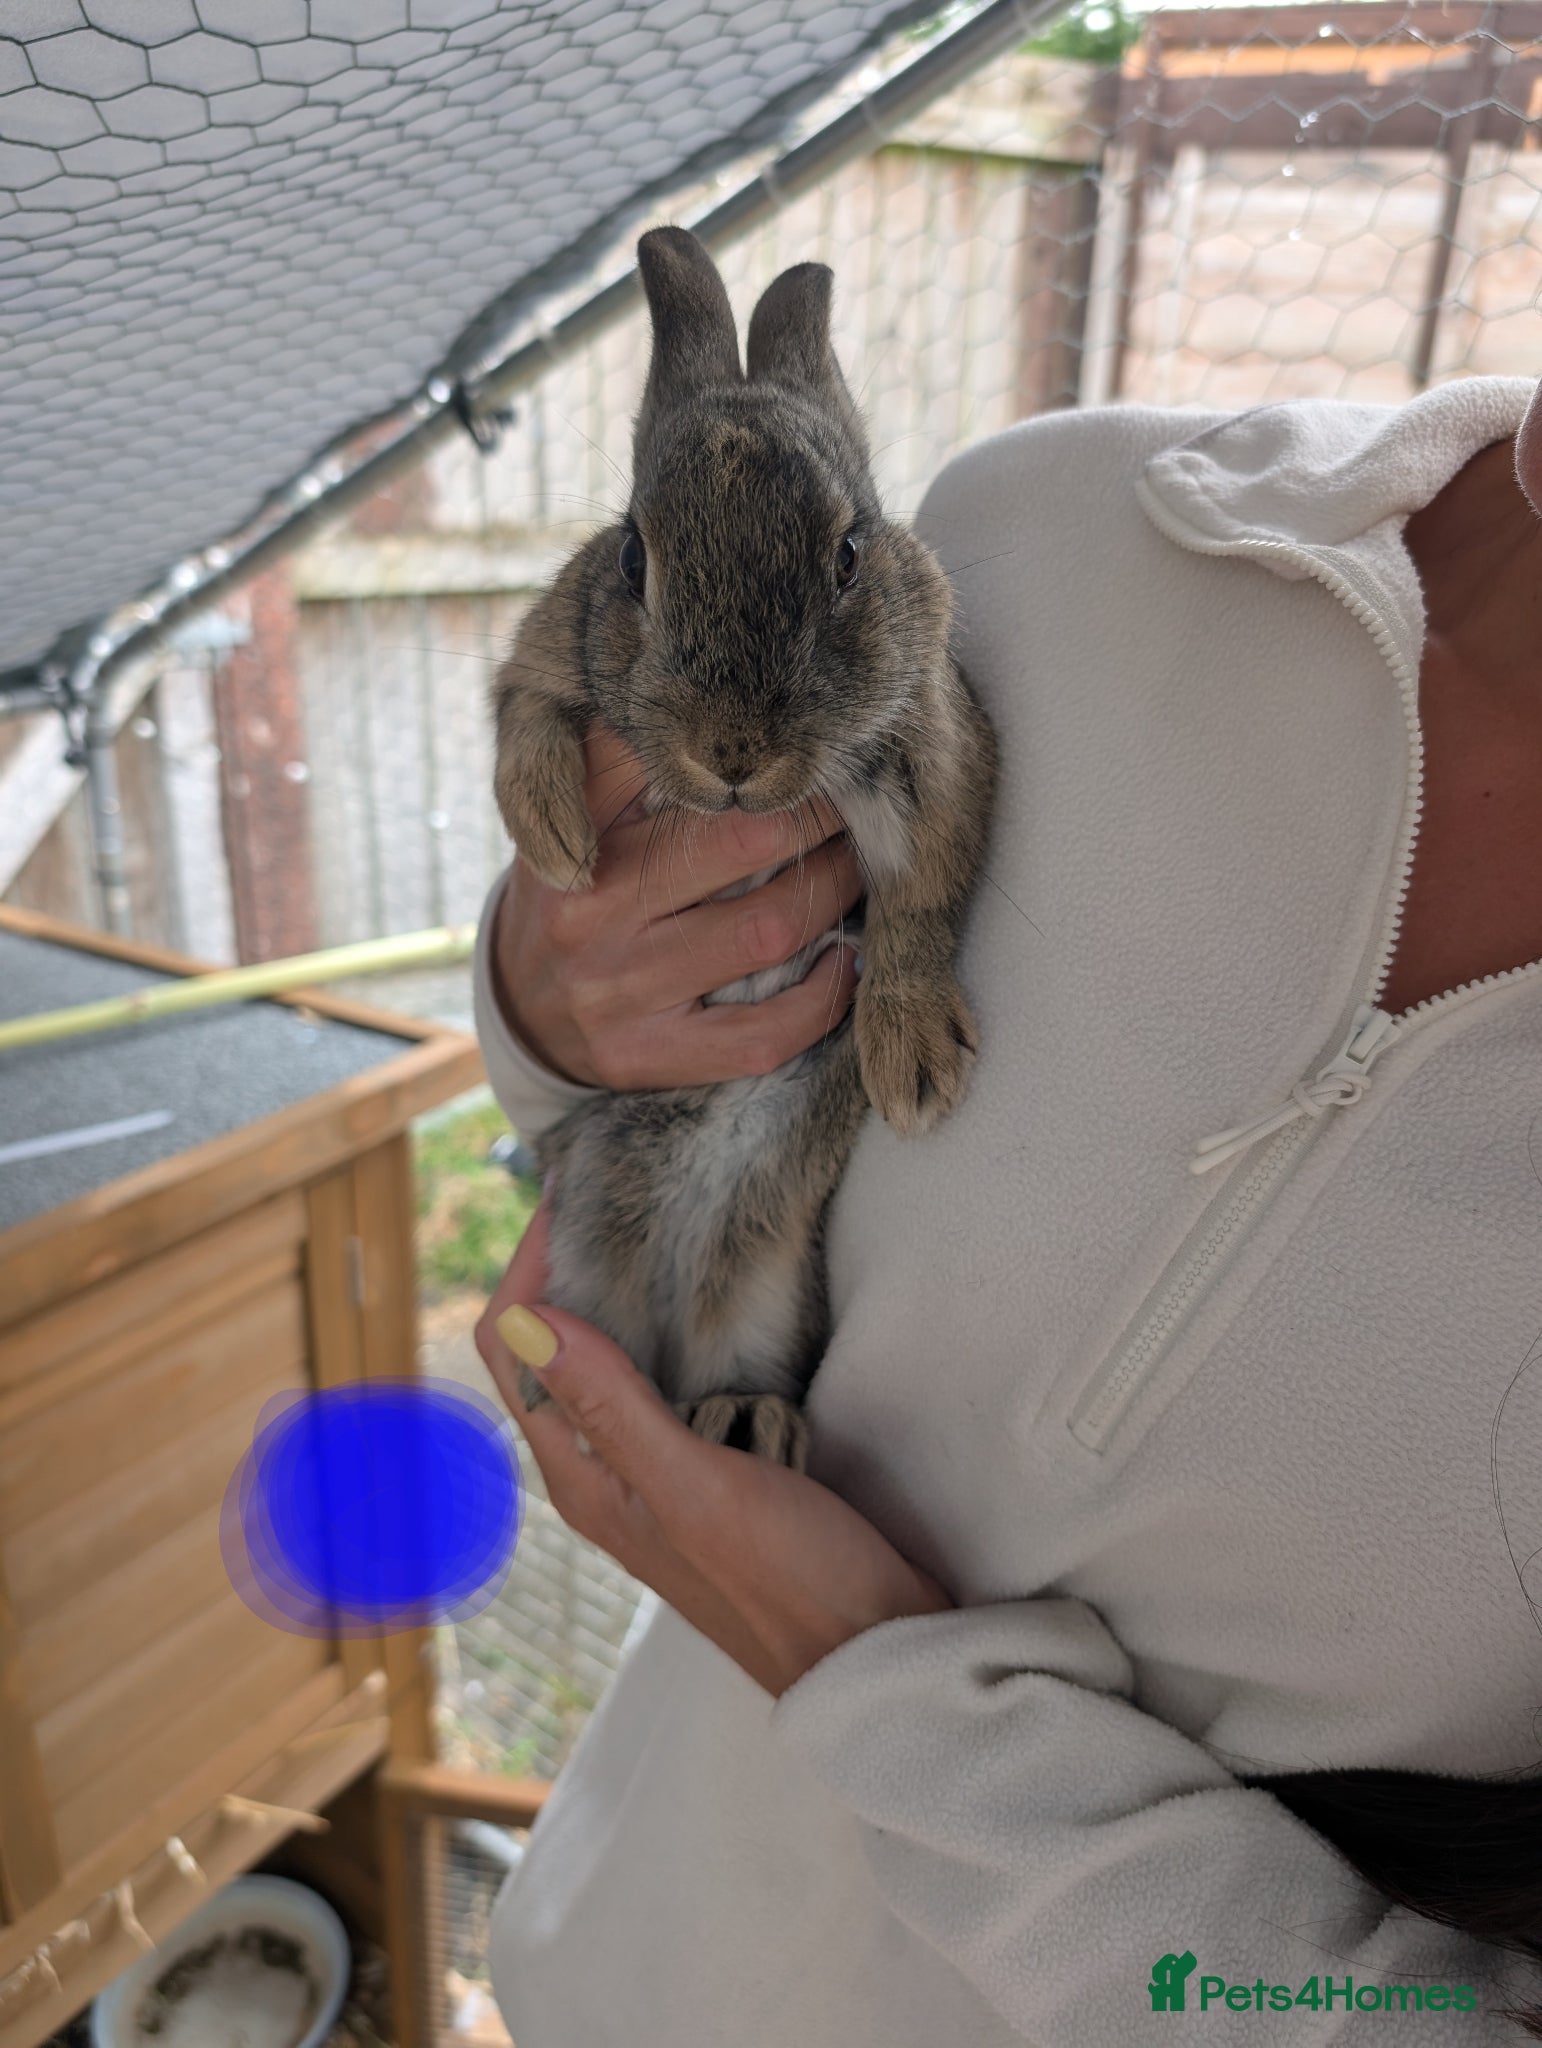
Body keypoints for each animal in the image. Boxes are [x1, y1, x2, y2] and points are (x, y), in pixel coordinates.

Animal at [488, 225, 997, 1471]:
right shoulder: (554, 647)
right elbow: (522, 713)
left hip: (767, 1287)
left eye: (849, 553)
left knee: (743, 1357)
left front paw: (913, 1059)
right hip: (589, 1250)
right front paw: (560, 843)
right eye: (633, 557)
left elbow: (920, 897)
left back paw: (741, 1423)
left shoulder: (929, 740)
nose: (731, 752)